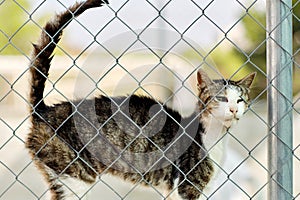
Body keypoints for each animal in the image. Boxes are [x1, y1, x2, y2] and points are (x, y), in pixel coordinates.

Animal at [25, 0, 255, 199]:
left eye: (240, 100)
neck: (216, 136)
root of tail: (44, 110)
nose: (234, 110)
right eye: (222, 98)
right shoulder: (186, 188)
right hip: (74, 179)